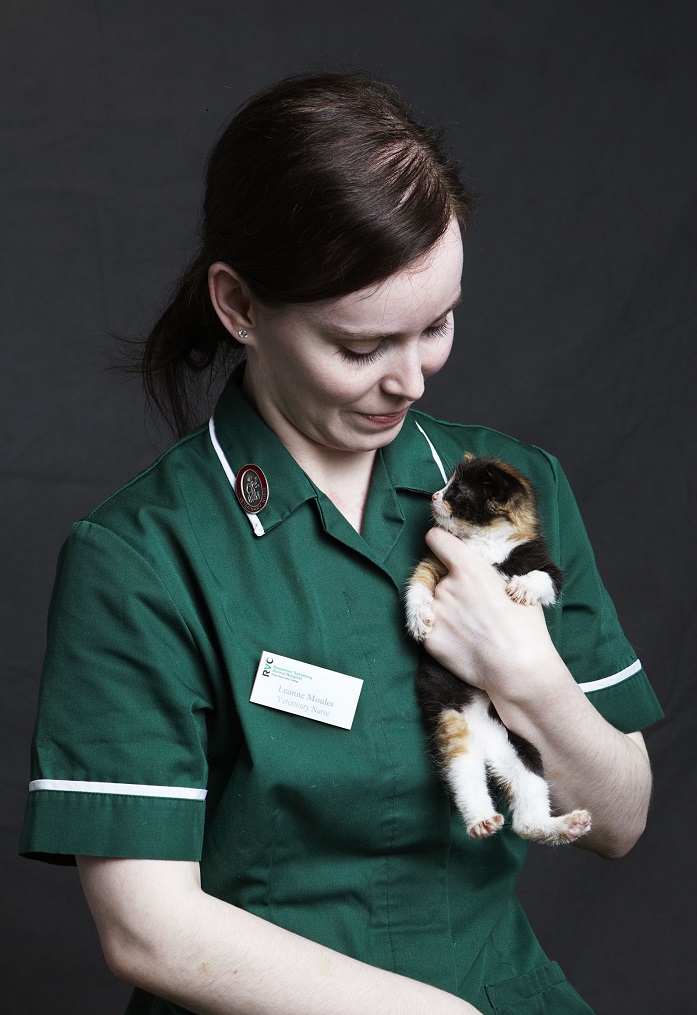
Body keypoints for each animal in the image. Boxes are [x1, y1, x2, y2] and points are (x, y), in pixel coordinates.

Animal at [405, 456, 592, 844]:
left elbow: (546, 578)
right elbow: (418, 581)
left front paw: (523, 588)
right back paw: (481, 819)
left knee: (525, 819)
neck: (485, 542)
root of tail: (489, 748)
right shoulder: (436, 563)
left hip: (523, 749)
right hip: (454, 730)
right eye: (446, 485)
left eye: (457, 491)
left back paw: (562, 825)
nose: (434, 495)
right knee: (465, 777)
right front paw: (417, 617)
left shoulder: (540, 560)